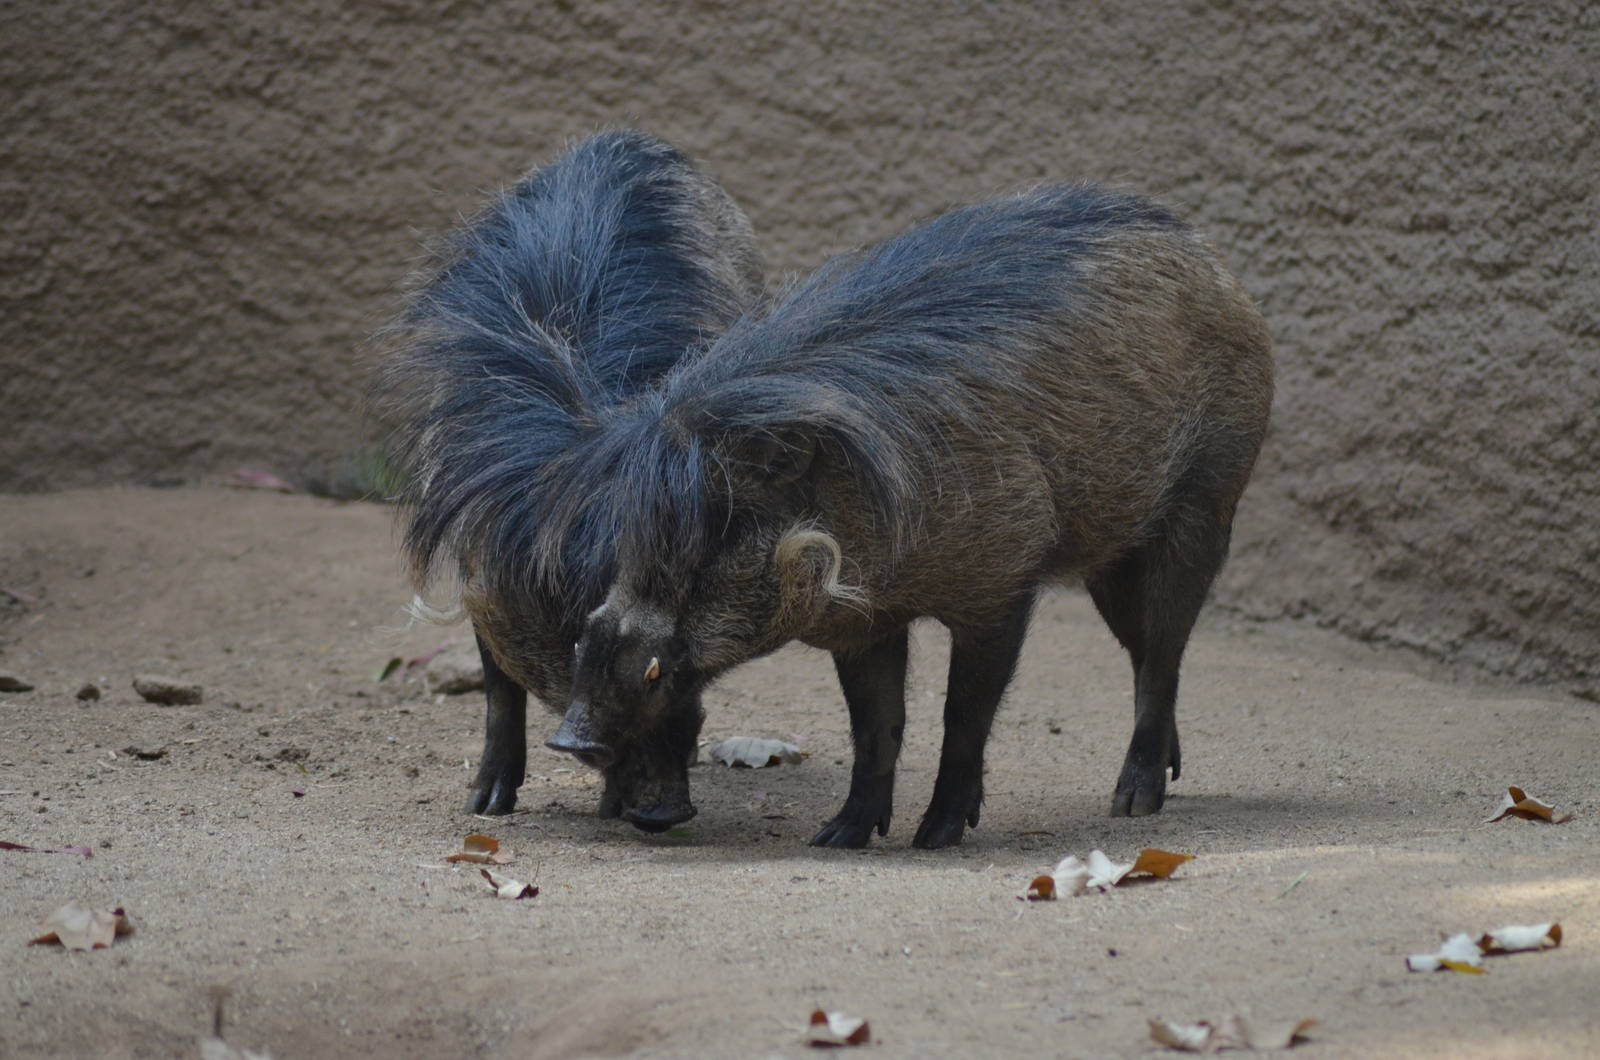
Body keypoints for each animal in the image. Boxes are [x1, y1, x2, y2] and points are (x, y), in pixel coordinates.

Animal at [374, 129, 764, 823]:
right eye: (579, 639)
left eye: (676, 667)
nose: (665, 814)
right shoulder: (480, 571)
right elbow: (498, 686)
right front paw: (485, 807)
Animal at [540, 183, 1273, 847]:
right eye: (639, 529)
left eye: (723, 524)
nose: (568, 737)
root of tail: (1210, 258)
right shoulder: (861, 621)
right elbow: (876, 727)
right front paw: (840, 836)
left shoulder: (999, 591)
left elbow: (962, 716)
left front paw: (938, 835)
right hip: (1111, 561)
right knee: (1146, 653)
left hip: (1200, 512)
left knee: (1164, 655)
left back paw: (1133, 804)